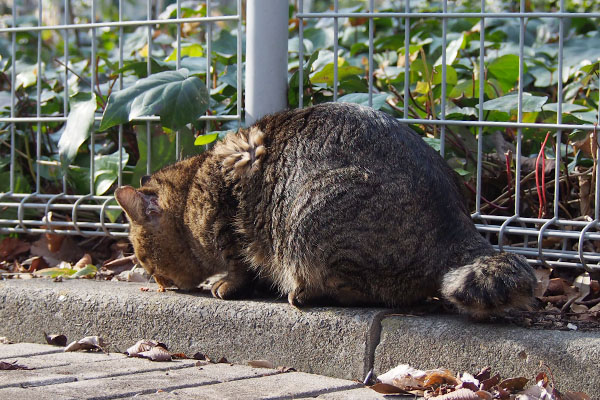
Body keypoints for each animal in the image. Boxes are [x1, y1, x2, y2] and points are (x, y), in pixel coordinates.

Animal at [116, 102, 536, 318]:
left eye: (144, 258)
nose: (158, 281)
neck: (193, 187)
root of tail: (458, 225)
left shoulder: (229, 224)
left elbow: (239, 264)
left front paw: (226, 283)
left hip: (311, 220)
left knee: (374, 293)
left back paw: (306, 293)